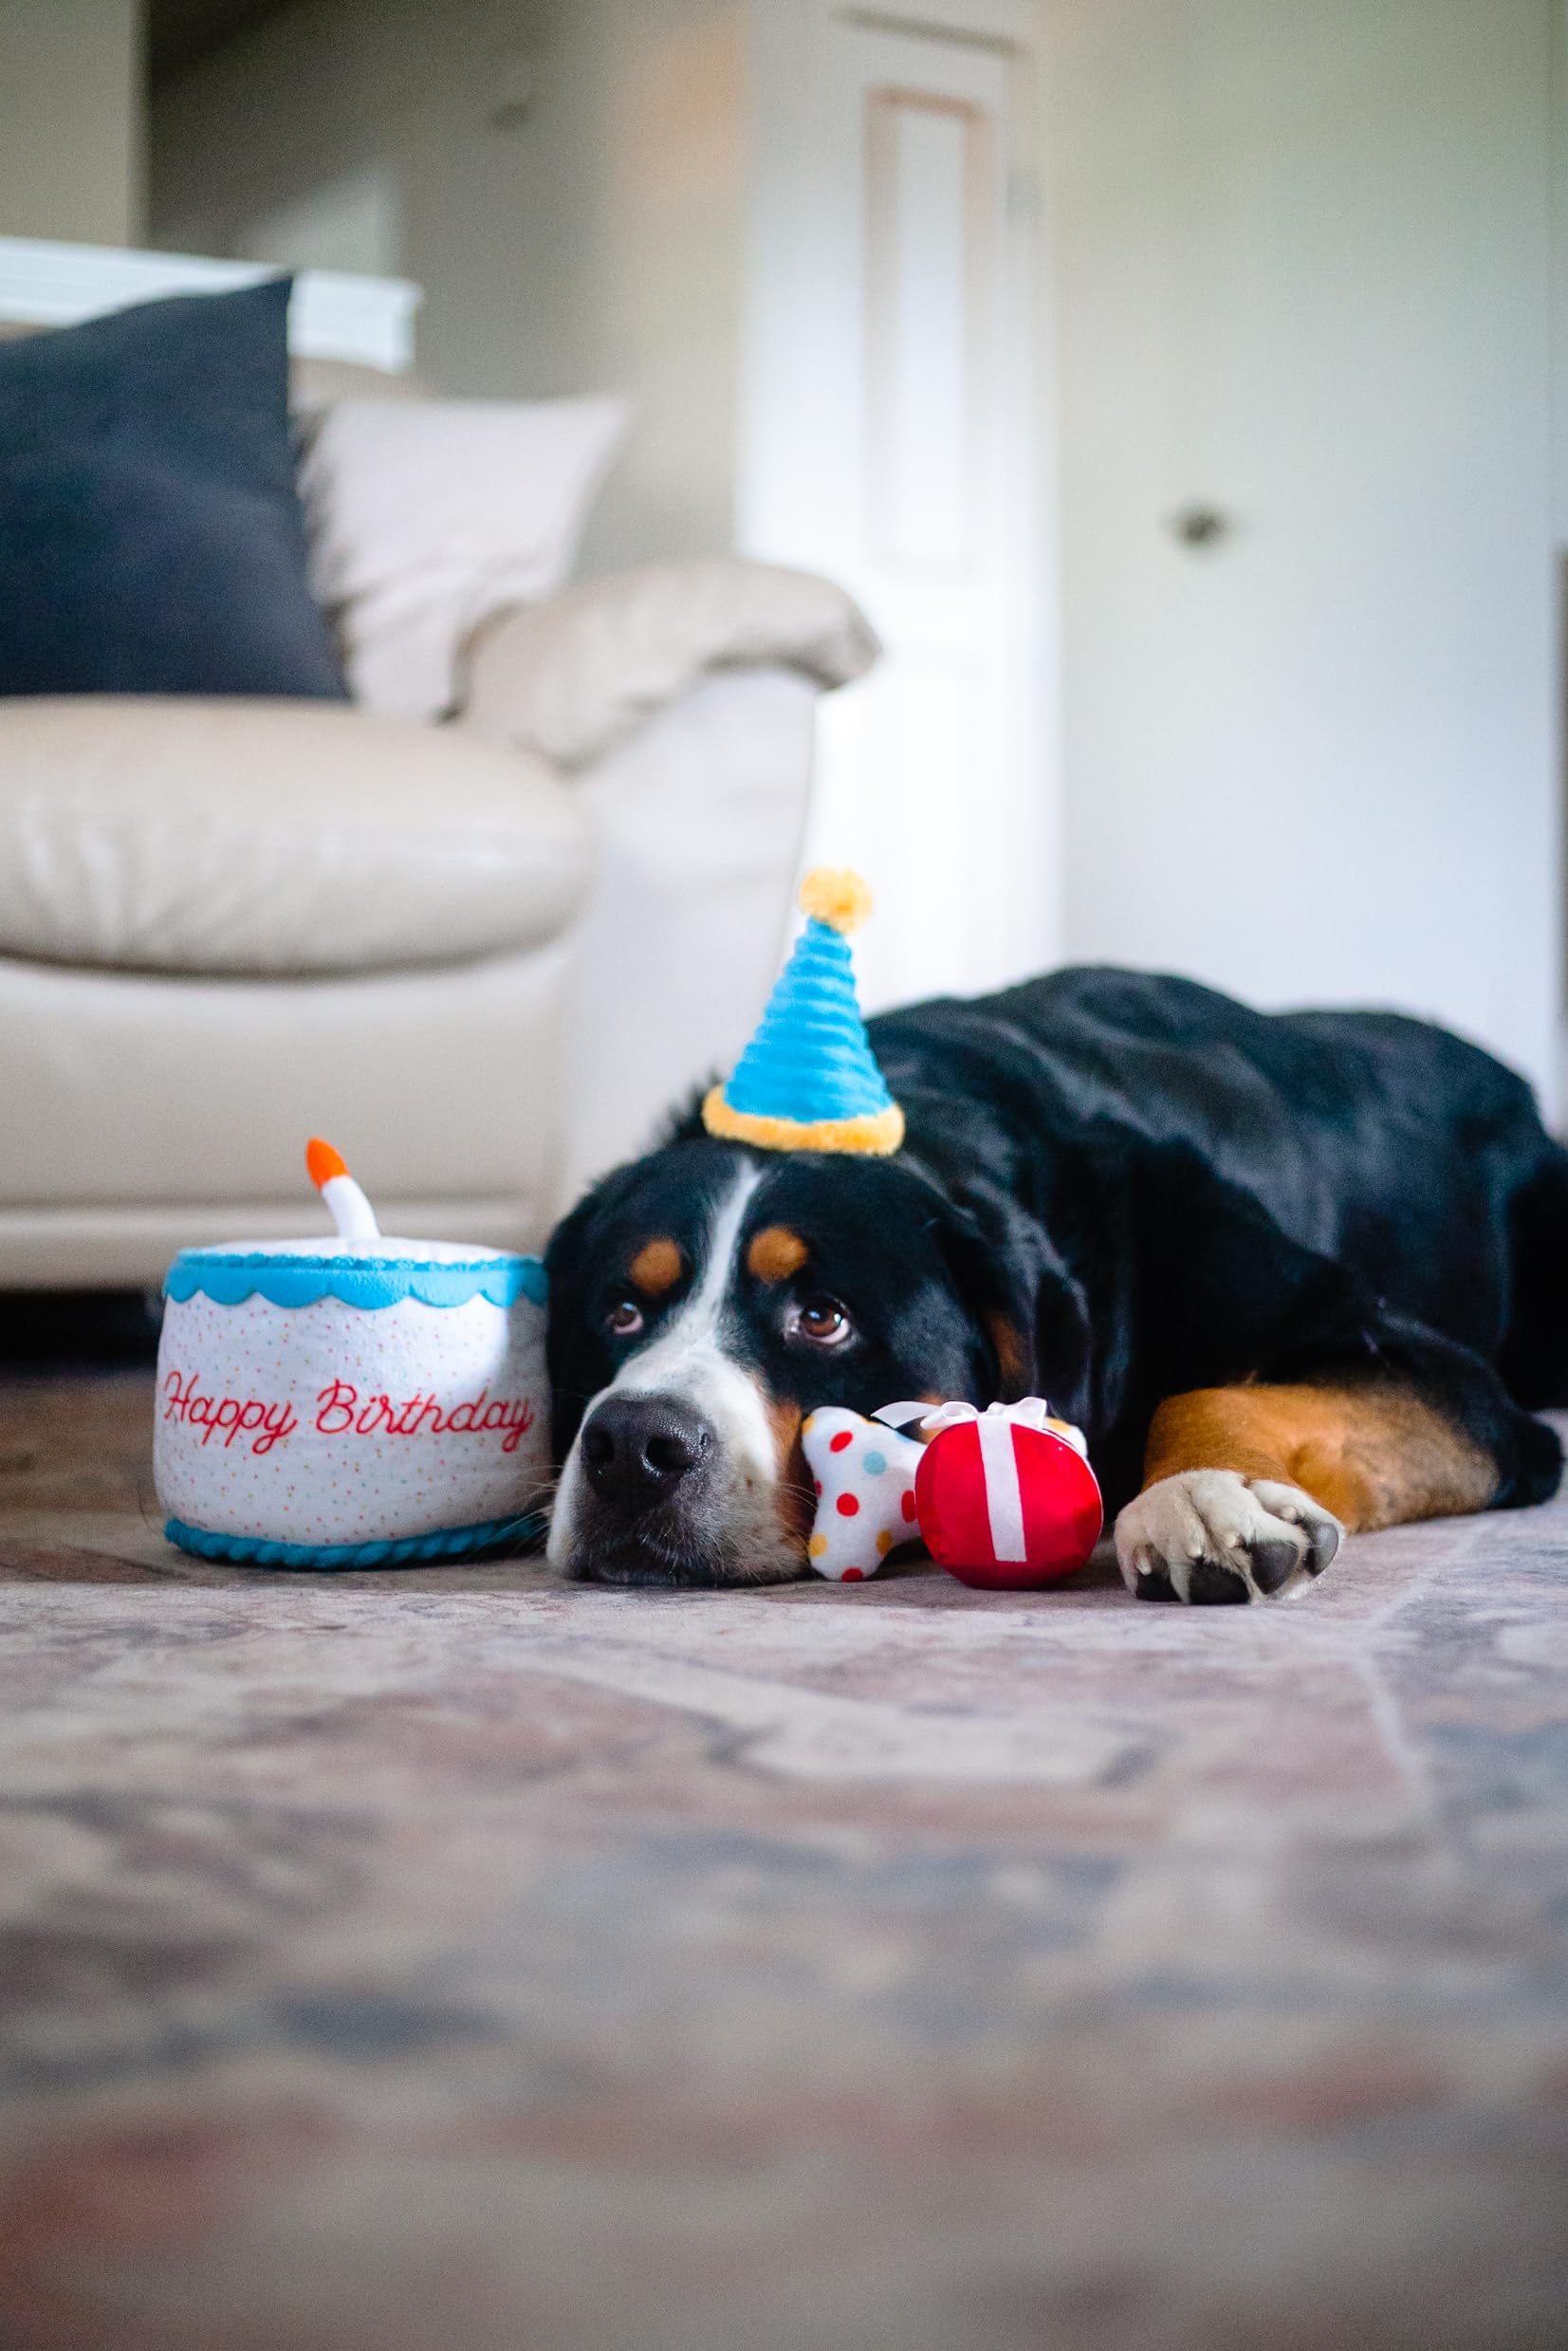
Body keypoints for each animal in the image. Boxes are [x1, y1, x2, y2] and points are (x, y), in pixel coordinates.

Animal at [543, 963, 1568, 1607]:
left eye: (823, 1319)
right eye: (620, 1312)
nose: (631, 1445)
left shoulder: (1434, 1373)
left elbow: (1200, 1393)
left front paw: (1202, 1496)